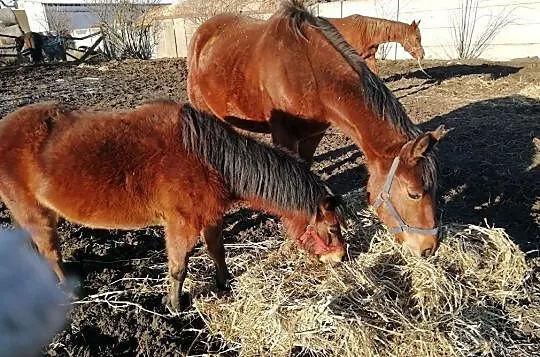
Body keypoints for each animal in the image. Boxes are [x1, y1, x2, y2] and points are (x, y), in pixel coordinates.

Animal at [0, 99, 346, 308]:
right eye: (331, 229)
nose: (341, 259)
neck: (208, 159)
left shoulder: (211, 217)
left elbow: (217, 251)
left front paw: (225, 284)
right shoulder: (182, 225)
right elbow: (179, 269)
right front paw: (175, 306)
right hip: (37, 216)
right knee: (51, 253)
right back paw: (71, 291)